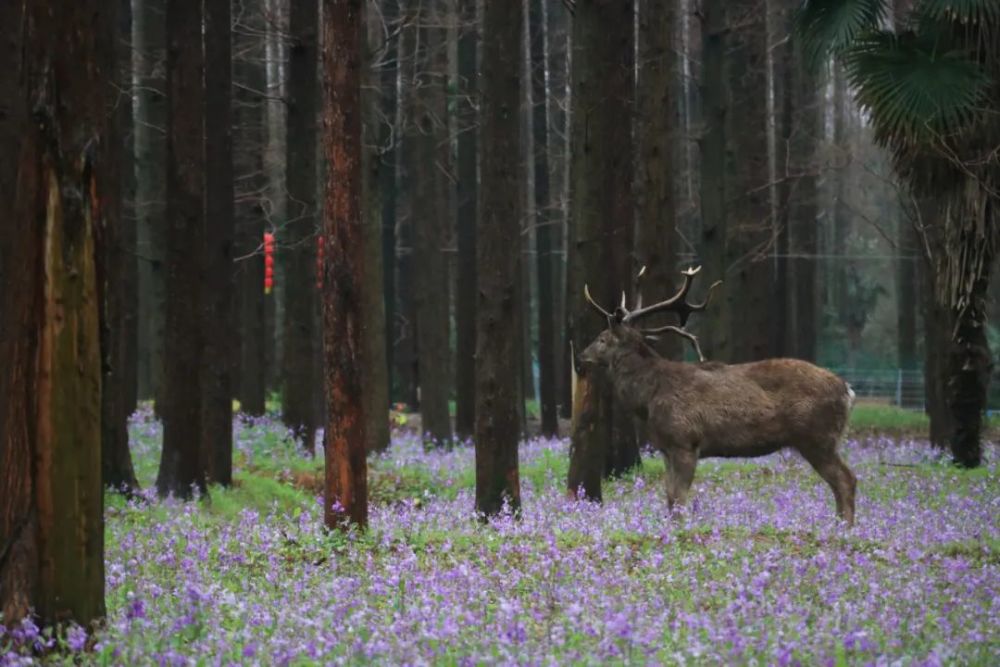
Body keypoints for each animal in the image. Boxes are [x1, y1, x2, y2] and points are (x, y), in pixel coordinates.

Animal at [580, 266, 860, 528]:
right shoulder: (666, 448)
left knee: (846, 479)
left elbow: (679, 498)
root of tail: (847, 390)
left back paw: (844, 529)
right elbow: (669, 497)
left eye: (602, 338)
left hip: (817, 436)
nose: (582, 356)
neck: (649, 399)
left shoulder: (685, 441)